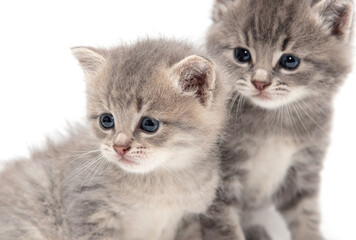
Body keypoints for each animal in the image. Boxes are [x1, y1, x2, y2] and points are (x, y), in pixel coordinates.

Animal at [0, 38, 228, 240]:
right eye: (106, 120)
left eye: (149, 124)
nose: (119, 147)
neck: (158, 185)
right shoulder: (88, 207)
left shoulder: (190, 219)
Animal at [202, 0, 354, 240]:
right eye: (242, 54)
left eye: (290, 61)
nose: (260, 82)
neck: (274, 124)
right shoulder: (219, 183)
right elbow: (226, 228)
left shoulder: (303, 168)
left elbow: (305, 216)